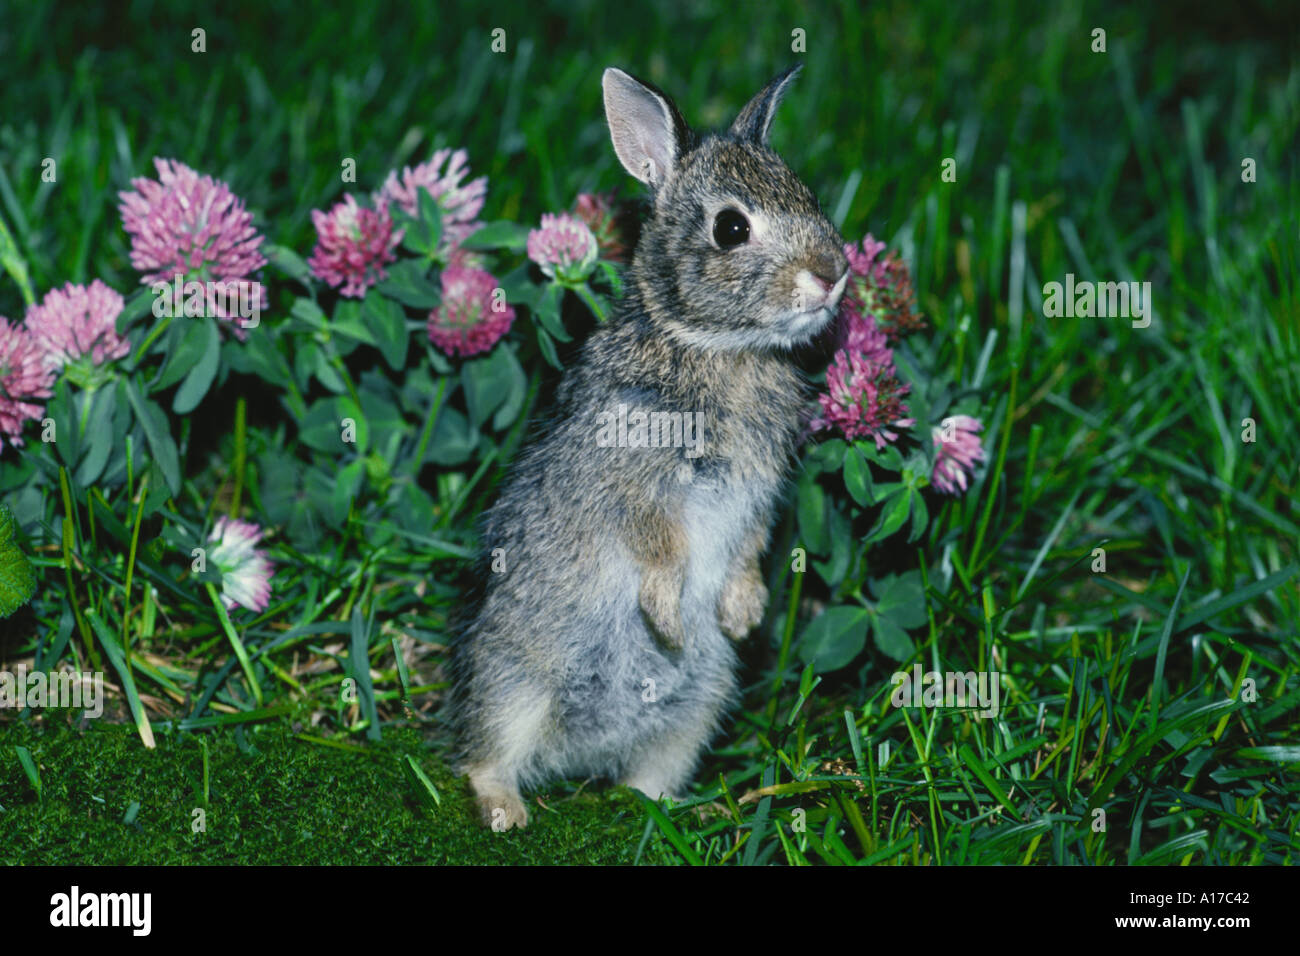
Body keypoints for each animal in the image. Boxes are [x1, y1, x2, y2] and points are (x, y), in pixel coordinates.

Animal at [450, 65, 850, 830]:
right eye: (731, 227)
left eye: (807, 194)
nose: (832, 271)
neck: (716, 347)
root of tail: (580, 755)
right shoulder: (634, 478)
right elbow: (657, 545)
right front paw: (668, 615)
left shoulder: (759, 491)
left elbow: (749, 542)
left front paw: (744, 611)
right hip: (517, 677)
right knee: (485, 749)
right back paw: (507, 810)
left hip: (701, 701)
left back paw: (659, 808)